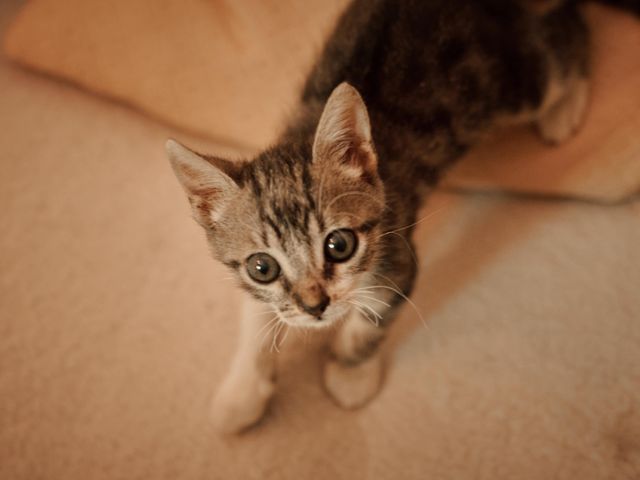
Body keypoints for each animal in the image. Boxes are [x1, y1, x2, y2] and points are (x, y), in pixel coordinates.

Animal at [164, 0, 636, 434]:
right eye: (262, 267)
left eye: (339, 245)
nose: (316, 307)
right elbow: (258, 317)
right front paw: (241, 394)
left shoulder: (398, 257)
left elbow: (368, 324)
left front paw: (350, 374)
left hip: (526, 80)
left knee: (568, 42)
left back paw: (564, 111)